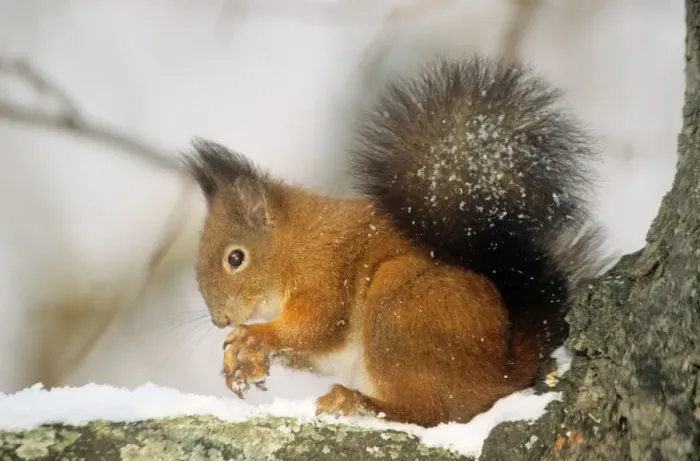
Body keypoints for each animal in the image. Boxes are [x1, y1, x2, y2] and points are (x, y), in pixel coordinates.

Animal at [183, 55, 607, 427]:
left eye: (235, 258)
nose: (221, 320)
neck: (293, 246)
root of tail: (501, 372)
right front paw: (244, 362)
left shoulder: (323, 271)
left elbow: (317, 325)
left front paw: (253, 336)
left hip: (401, 309)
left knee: (431, 411)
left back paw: (358, 402)